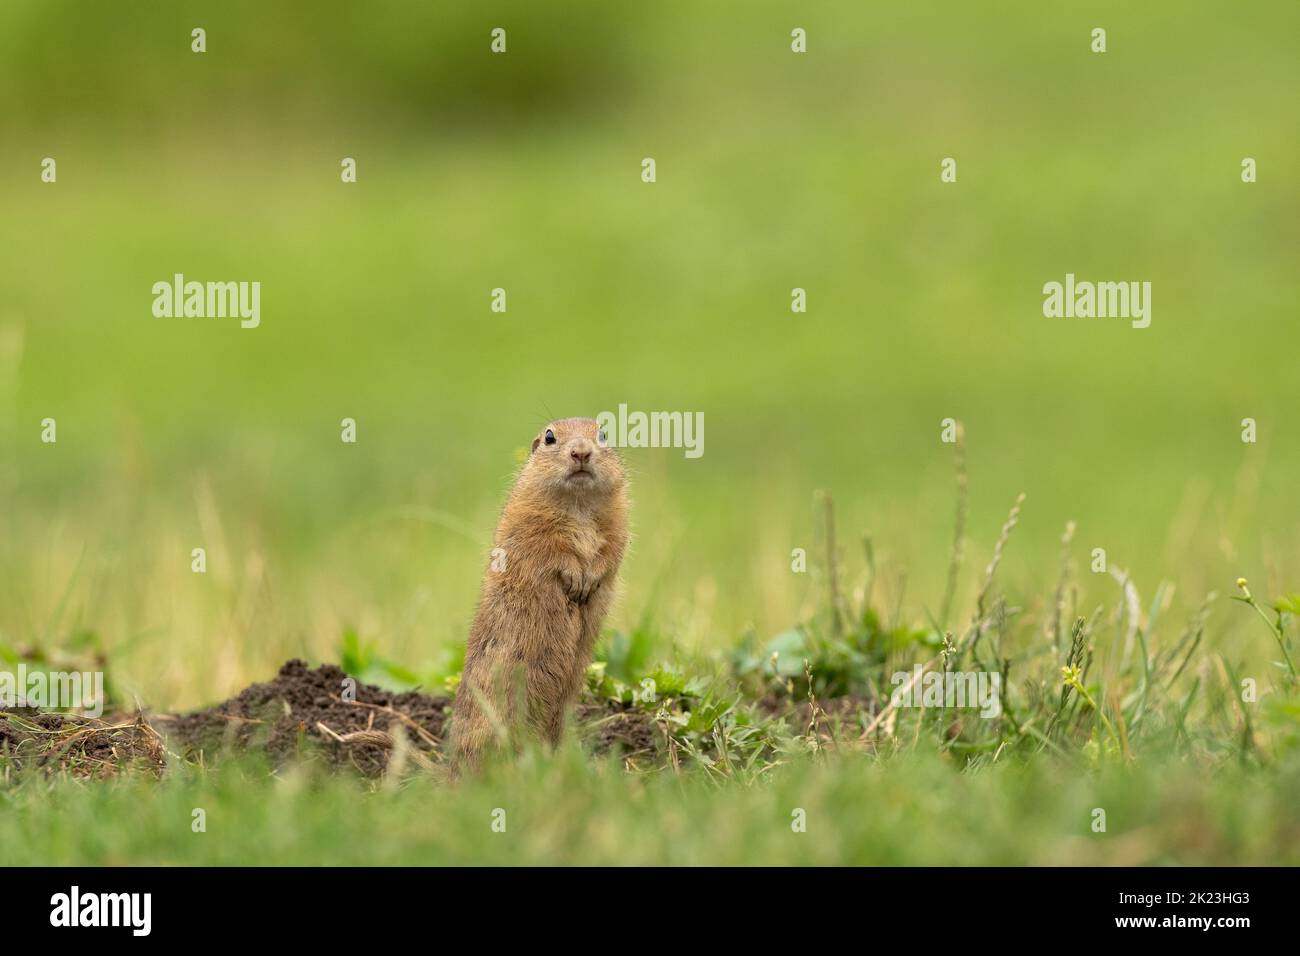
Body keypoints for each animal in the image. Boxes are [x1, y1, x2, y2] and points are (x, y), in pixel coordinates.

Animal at [449, 418, 626, 770]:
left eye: (603, 434)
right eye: (549, 437)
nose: (581, 452)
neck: (578, 503)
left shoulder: (618, 520)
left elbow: (612, 549)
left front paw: (589, 579)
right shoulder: (528, 520)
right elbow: (549, 548)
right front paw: (574, 578)